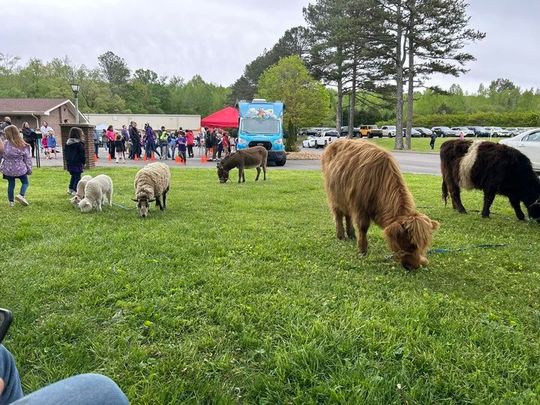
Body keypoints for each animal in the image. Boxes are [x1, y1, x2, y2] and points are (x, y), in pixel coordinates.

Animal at [320, 139, 438, 268]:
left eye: (424, 245)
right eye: (411, 245)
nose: (414, 266)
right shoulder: (359, 206)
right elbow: (363, 227)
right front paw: (362, 250)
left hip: (346, 198)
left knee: (348, 215)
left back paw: (351, 235)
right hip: (334, 196)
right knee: (338, 215)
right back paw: (341, 235)